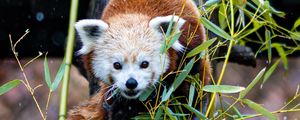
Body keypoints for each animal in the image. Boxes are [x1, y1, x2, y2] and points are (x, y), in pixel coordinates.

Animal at [68, 0, 211, 119]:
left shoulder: (188, 54)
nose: (131, 83)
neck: (134, 12)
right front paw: (122, 110)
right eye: (117, 65)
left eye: (144, 64)